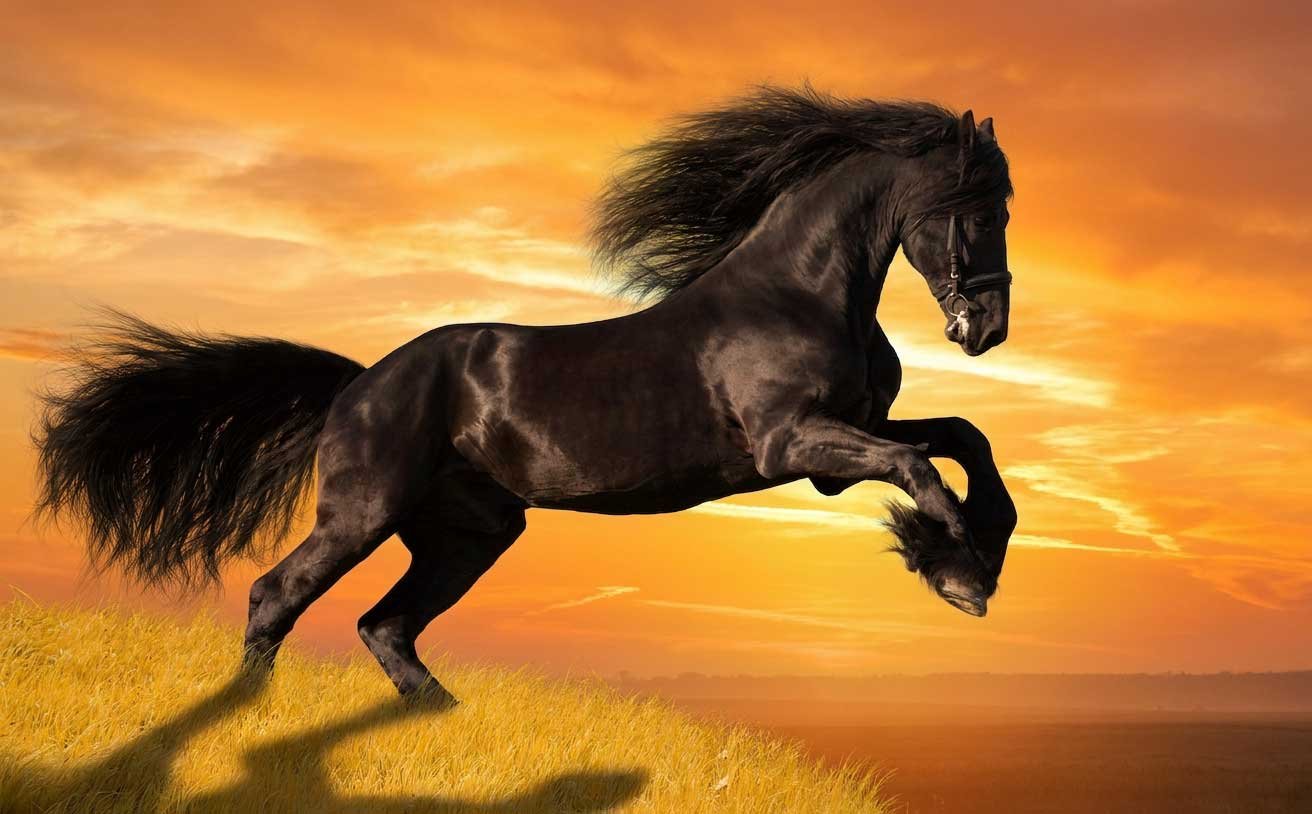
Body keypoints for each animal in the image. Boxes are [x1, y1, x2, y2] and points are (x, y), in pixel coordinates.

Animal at [35, 86, 1018, 702]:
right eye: (978, 208)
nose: (988, 327)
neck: (797, 292)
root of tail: (359, 384)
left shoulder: (843, 440)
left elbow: (963, 438)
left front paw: (973, 554)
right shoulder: (795, 446)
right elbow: (920, 467)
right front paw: (957, 572)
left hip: (469, 532)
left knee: (386, 624)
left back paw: (438, 716)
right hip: (363, 512)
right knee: (278, 594)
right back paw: (247, 708)